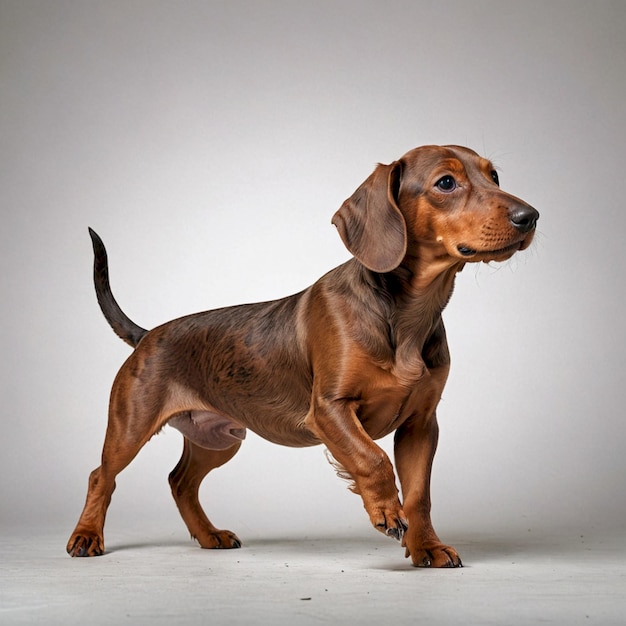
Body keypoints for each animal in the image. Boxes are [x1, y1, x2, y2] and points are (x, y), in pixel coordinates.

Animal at [67, 145, 536, 564]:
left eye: (494, 176)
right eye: (446, 183)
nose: (530, 216)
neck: (407, 315)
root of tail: (149, 335)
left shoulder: (421, 425)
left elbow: (419, 495)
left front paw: (428, 548)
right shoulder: (330, 409)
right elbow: (374, 459)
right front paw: (386, 511)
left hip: (217, 439)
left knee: (180, 482)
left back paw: (209, 535)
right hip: (131, 425)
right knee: (100, 476)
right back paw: (87, 537)